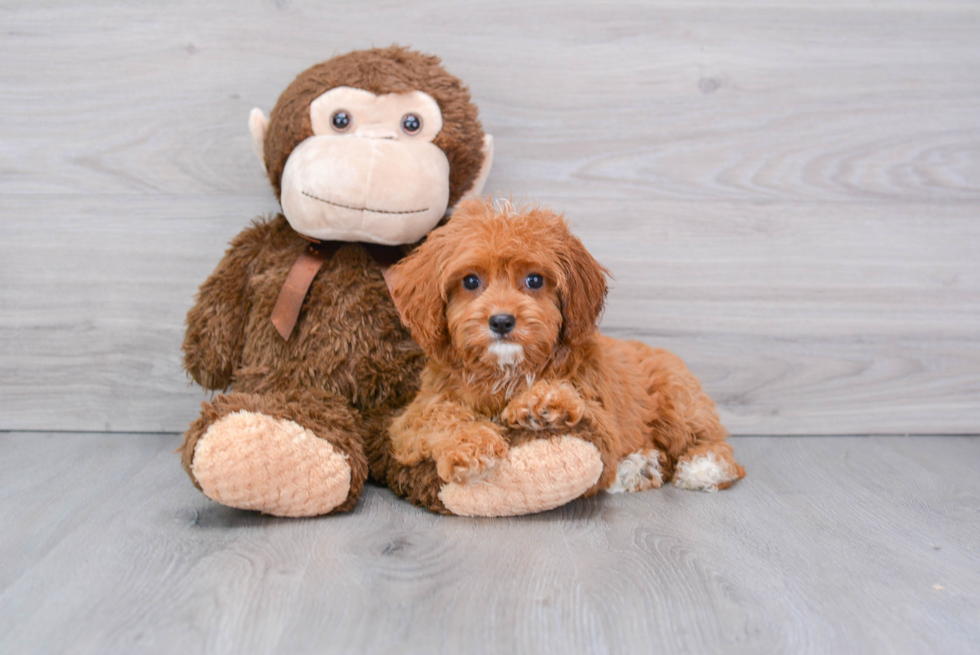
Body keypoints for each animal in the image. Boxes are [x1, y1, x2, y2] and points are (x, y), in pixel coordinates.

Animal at [386, 199, 748, 498]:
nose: (501, 321)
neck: (507, 370)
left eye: (534, 280)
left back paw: (703, 467)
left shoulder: (601, 425)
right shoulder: (410, 418)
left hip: (678, 399)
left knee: (709, 443)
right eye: (470, 281)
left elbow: (582, 410)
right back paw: (639, 468)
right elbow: (439, 413)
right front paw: (473, 442)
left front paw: (544, 402)